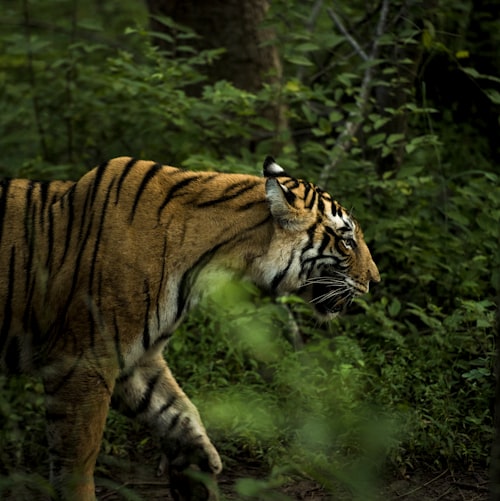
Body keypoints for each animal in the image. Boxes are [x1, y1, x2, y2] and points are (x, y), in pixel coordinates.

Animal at [0, 154, 378, 498]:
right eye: (346, 241)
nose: (375, 280)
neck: (212, 263)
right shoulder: (84, 360)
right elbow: (77, 458)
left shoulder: (136, 360)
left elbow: (179, 414)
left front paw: (196, 474)